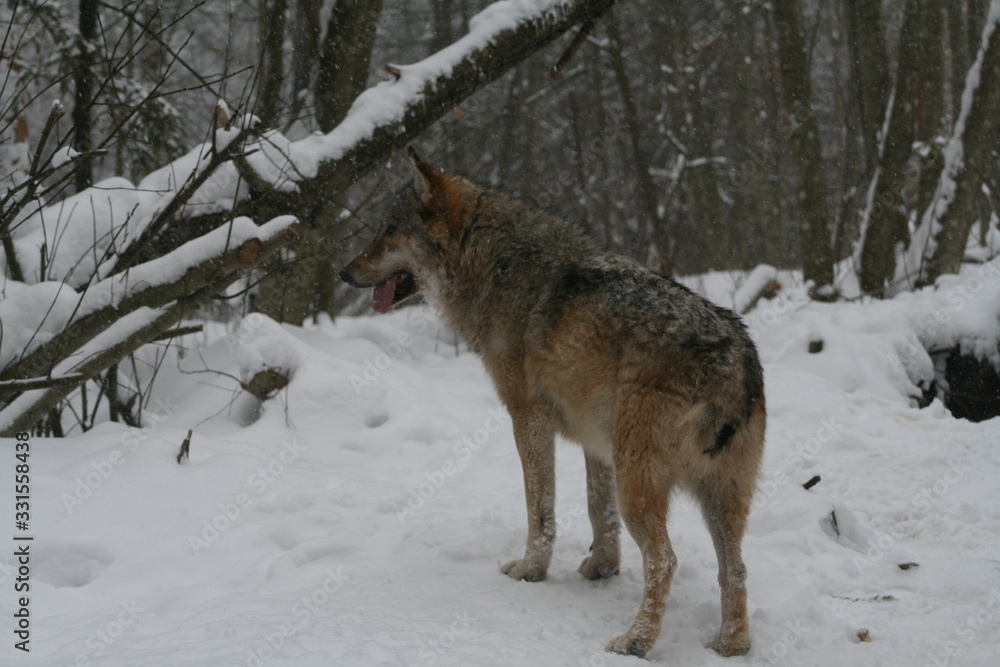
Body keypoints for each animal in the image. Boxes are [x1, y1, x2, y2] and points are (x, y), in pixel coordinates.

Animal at [339, 149, 766, 658]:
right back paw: (731, 645)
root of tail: (732, 358)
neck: (494, 265)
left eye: (388, 230)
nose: (343, 272)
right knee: (736, 567)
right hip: (718, 496)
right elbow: (597, 511)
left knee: (665, 559)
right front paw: (601, 569)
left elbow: (539, 508)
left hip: (643, 486)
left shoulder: (527, 416)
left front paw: (532, 571)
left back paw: (636, 640)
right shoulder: (597, 443)